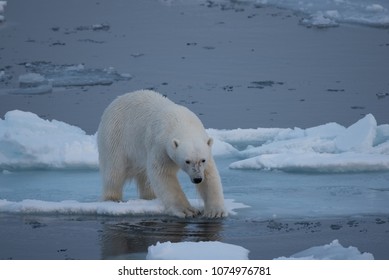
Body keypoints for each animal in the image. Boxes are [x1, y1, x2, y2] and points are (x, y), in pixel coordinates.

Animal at [95, 91, 226, 218]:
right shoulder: (160, 146)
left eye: (203, 160)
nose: (197, 178)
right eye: (187, 161)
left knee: (145, 176)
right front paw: (187, 210)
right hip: (115, 136)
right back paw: (112, 198)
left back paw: (150, 197)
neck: (181, 122)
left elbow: (210, 175)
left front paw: (215, 211)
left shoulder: (205, 148)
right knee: (114, 171)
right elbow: (163, 174)